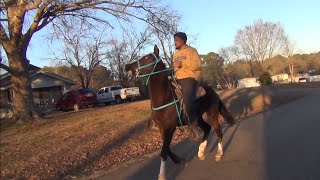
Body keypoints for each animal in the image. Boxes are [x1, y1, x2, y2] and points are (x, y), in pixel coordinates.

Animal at [125, 45, 235, 180]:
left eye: (147, 58)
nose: (127, 67)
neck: (165, 98)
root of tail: (213, 91)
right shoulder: (162, 128)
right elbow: (166, 149)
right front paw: (182, 161)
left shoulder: (170, 127)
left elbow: (164, 151)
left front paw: (162, 175)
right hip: (197, 119)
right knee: (207, 128)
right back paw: (201, 152)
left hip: (212, 115)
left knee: (218, 131)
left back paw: (219, 154)